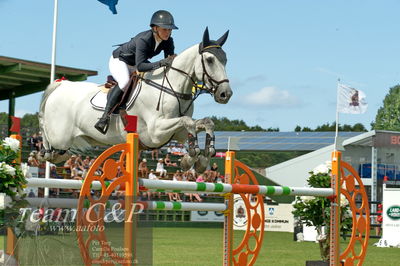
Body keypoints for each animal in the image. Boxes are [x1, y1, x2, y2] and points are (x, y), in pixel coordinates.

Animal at [39, 27, 233, 172]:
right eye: (210, 60)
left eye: (225, 60)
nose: (225, 94)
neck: (173, 88)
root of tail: (62, 85)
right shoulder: (156, 132)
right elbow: (188, 121)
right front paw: (192, 154)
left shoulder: (176, 133)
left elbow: (204, 123)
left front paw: (200, 159)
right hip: (60, 137)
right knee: (46, 135)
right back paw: (43, 152)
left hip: (73, 141)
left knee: (60, 153)